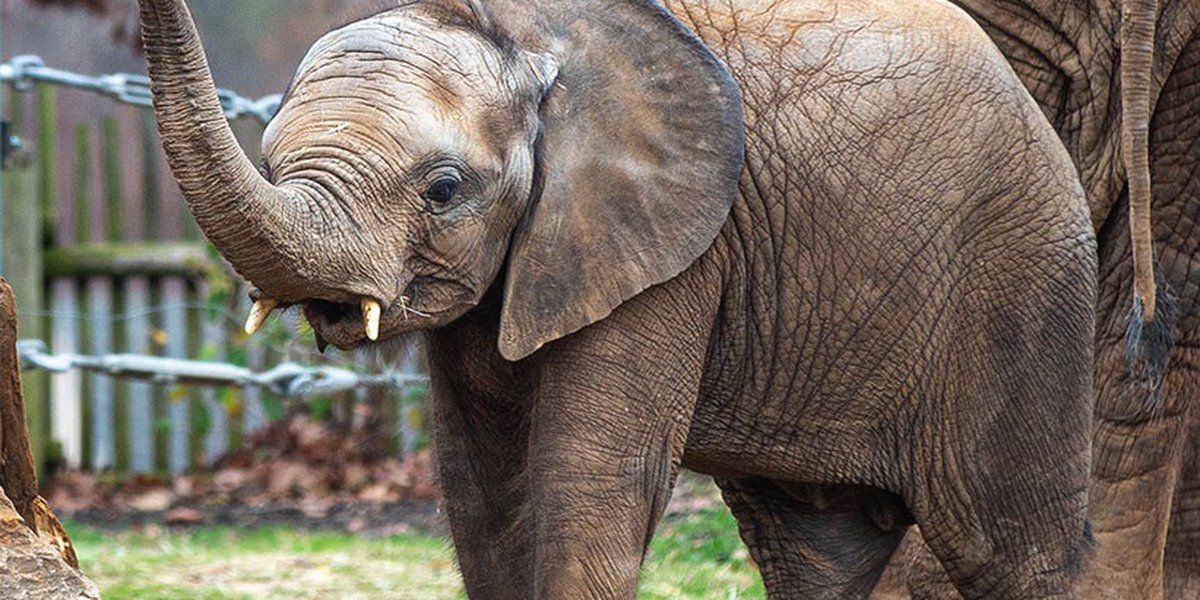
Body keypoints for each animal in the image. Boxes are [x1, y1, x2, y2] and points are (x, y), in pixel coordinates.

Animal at [136, 0, 1103, 597]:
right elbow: (485, 493)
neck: (522, 29)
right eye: (270, 157)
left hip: (1022, 277)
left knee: (1013, 547)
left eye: (443, 190)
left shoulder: (675, 251)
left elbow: (589, 482)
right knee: (813, 547)